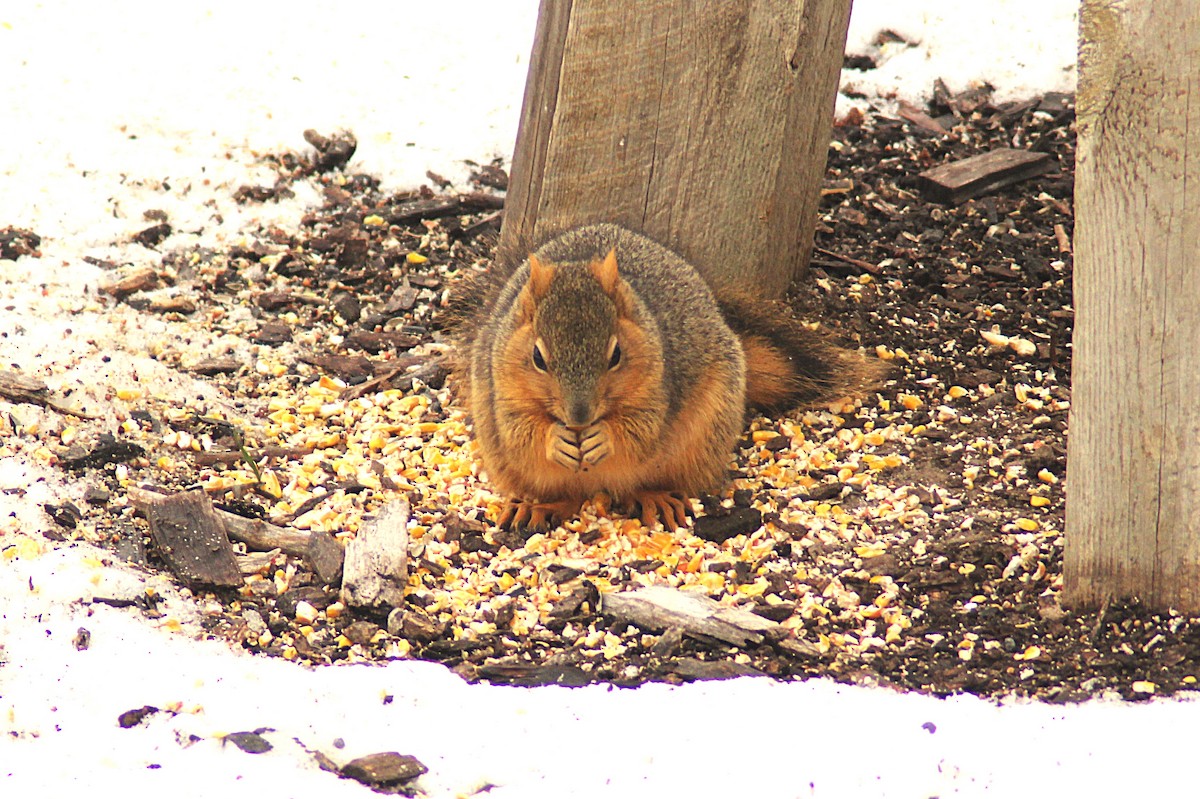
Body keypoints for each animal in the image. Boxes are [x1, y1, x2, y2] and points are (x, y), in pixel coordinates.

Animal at [445, 223, 877, 532]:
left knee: (645, 482)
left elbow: (641, 430)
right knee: (564, 495)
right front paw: (557, 439)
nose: (579, 417)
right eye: (537, 357)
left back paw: (656, 497)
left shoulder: (660, 388)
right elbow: (522, 431)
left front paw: (603, 437)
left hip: (703, 434)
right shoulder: (501, 394)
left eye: (616, 355)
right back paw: (539, 506)